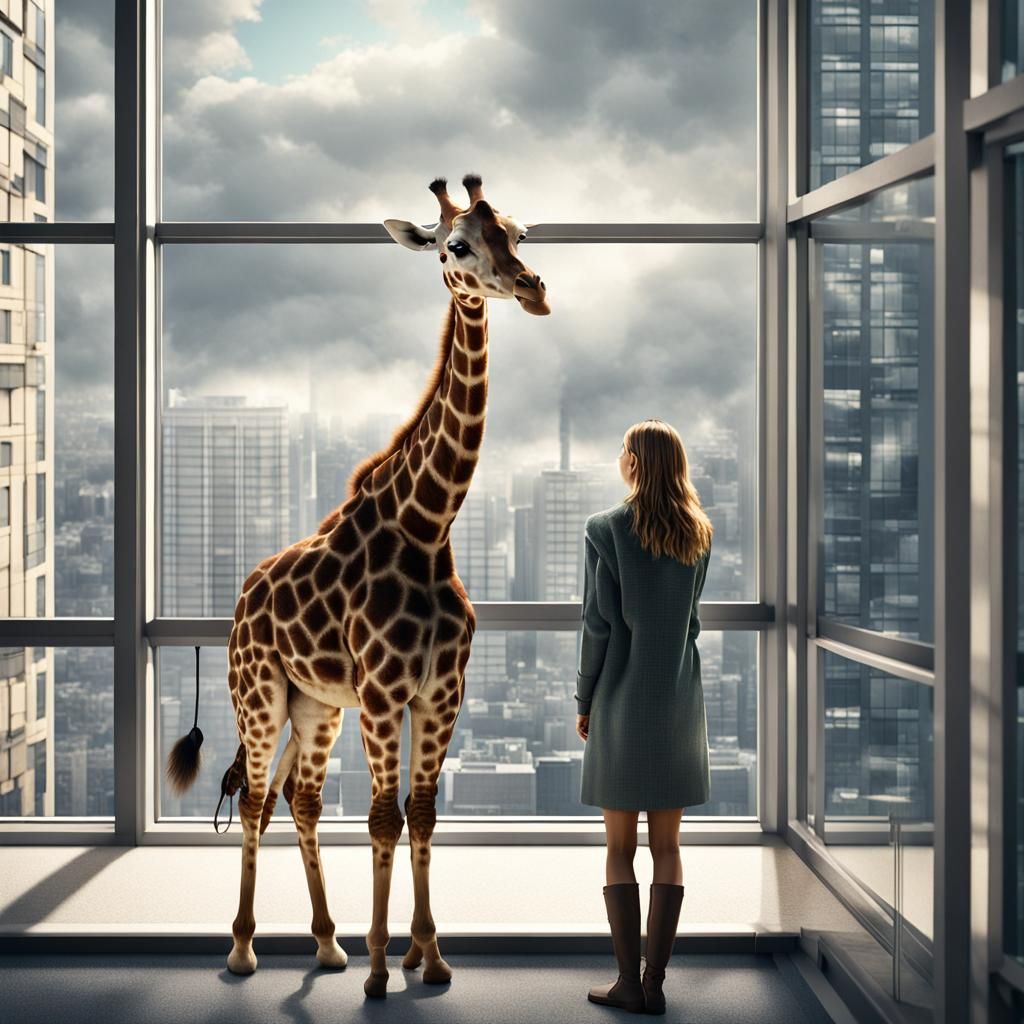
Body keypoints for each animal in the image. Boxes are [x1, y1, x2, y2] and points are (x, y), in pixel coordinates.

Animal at [166, 174, 550, 998]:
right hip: (260, 694)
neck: (428, 525)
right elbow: (381, 817)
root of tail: (241, 599)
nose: (533, 289)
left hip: (316, 707)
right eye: (455, 245)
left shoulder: (440, 689)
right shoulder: (382, 690)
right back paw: (244, 950)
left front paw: (427, 958)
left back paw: (326, 945)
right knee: (255, 797)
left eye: (516, 234)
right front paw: (382, 971)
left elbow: (423, 811)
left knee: (300, 800)